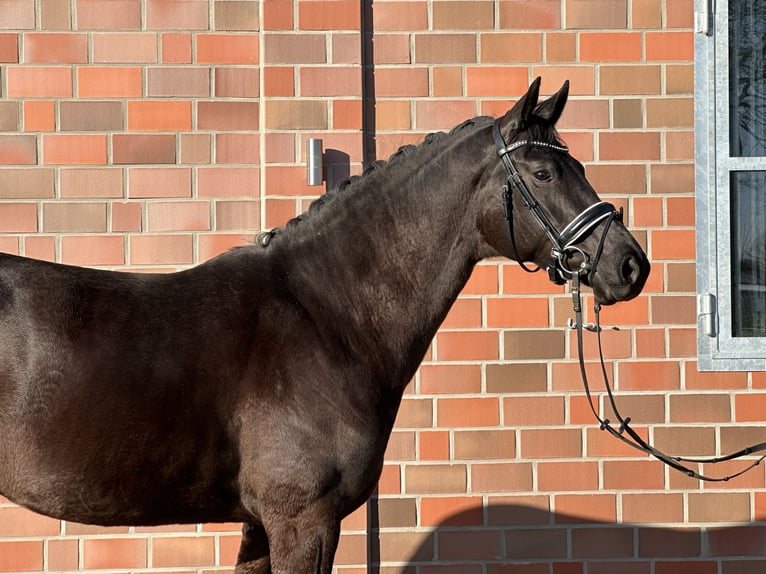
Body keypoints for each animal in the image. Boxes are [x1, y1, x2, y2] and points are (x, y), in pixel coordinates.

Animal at [0, 79, 648, 572]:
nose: (629, 265)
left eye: (577, 164)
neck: (325, 318)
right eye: (543, 173)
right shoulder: (302, 520)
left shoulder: (260, 525)